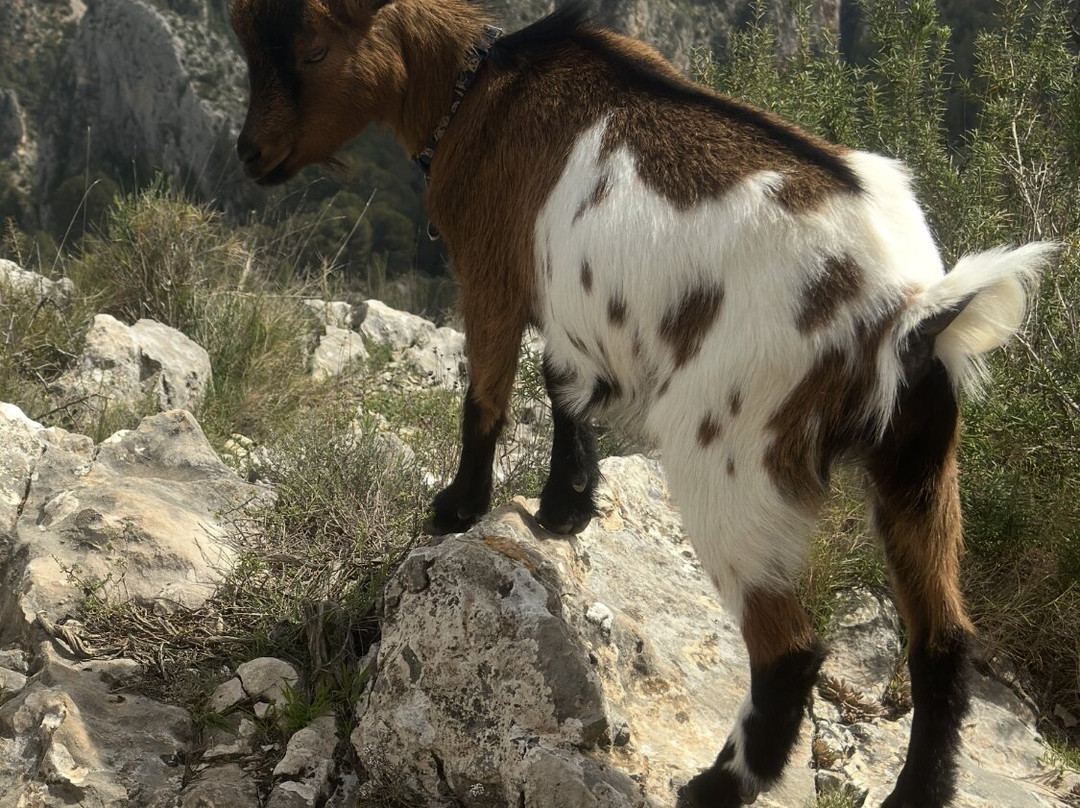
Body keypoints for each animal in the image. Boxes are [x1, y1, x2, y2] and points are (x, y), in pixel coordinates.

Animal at [230, 1, 1056, 805]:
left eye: (313, 48)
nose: (249, 155)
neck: (483, 89)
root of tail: (907, 308)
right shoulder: (568, 298)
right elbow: (564, 383)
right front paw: (566, 505)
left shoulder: (493, 272)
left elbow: (487, 395)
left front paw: (458, 508)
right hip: (919, 458)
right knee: (942, 640)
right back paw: (915, 791)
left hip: (733, 453)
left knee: (790, 649)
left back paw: (715, 786)